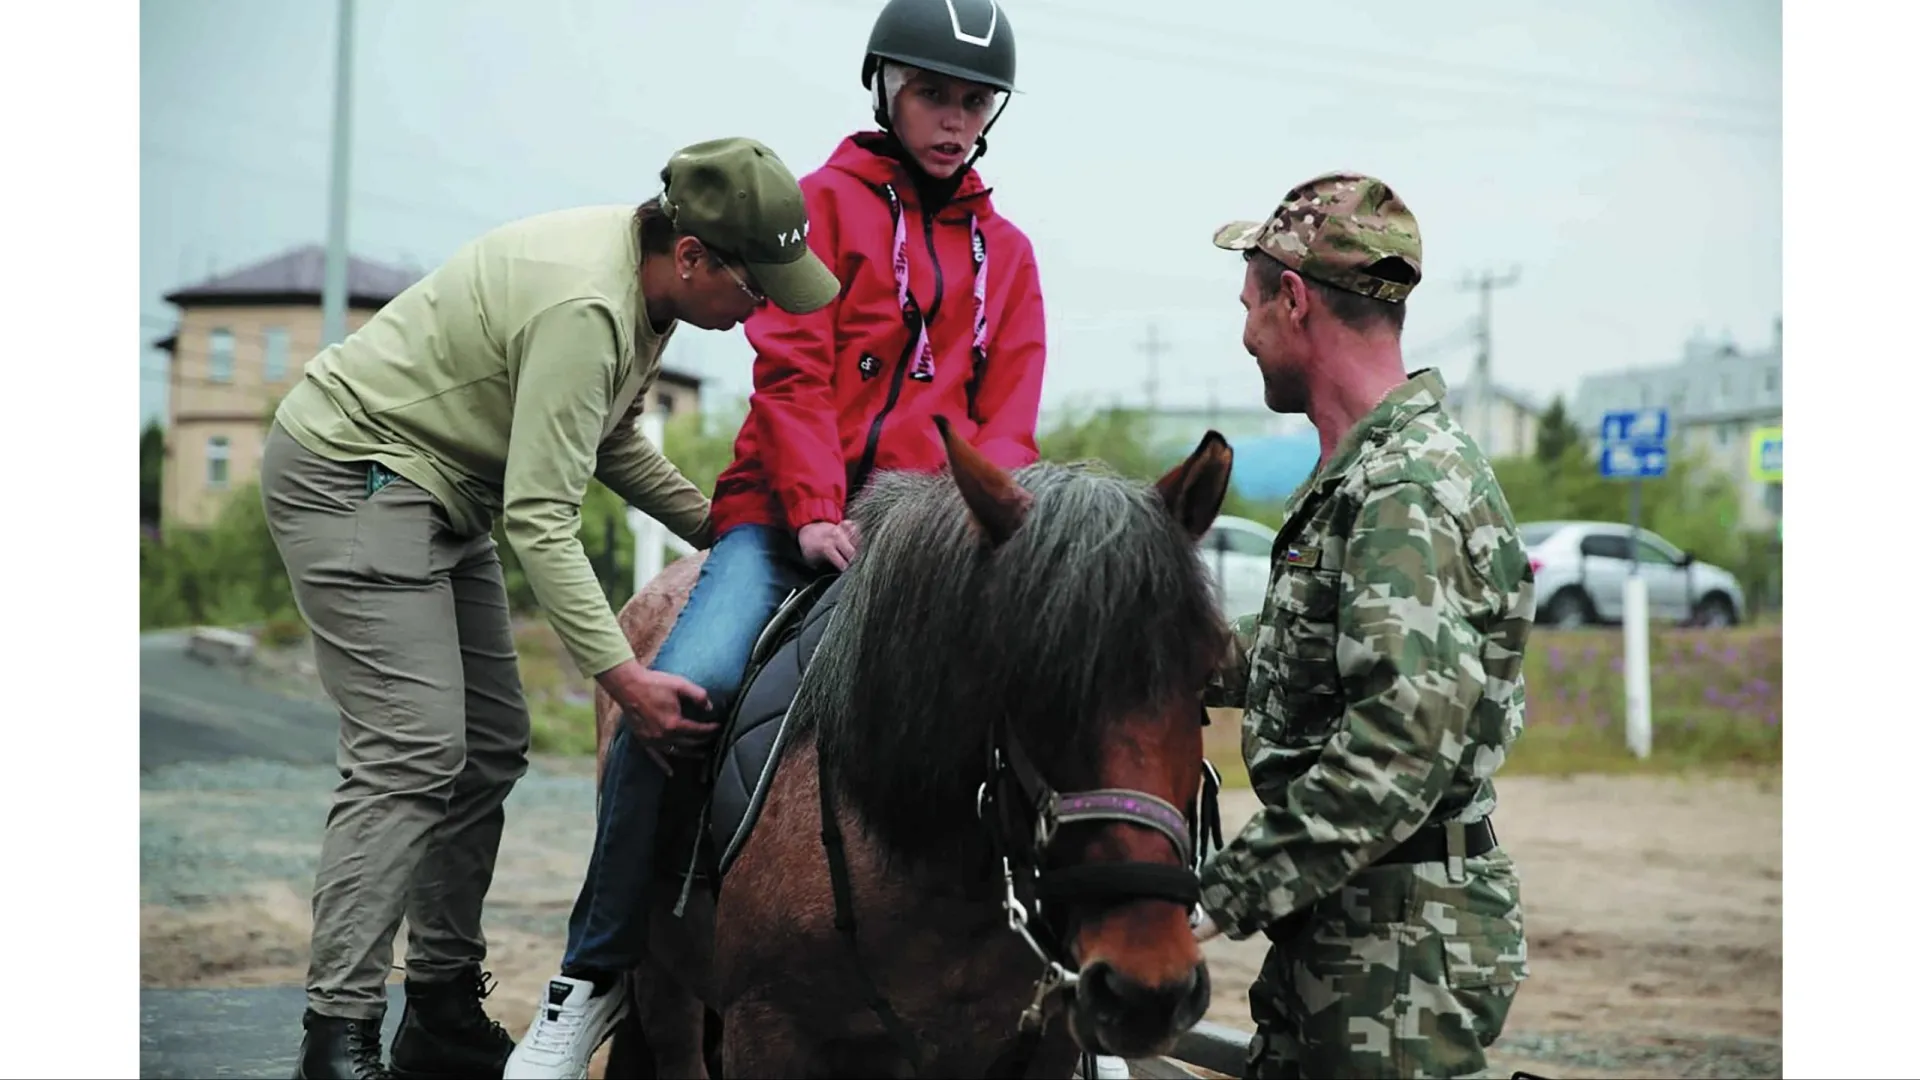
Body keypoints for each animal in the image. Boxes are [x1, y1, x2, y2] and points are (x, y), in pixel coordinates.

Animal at [583, 420, 1228, 1076]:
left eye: (1206, 673)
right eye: (1019, 674)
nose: (1146, 987)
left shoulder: (1045, 1045)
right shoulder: (765, 1033)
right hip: (664, 980)